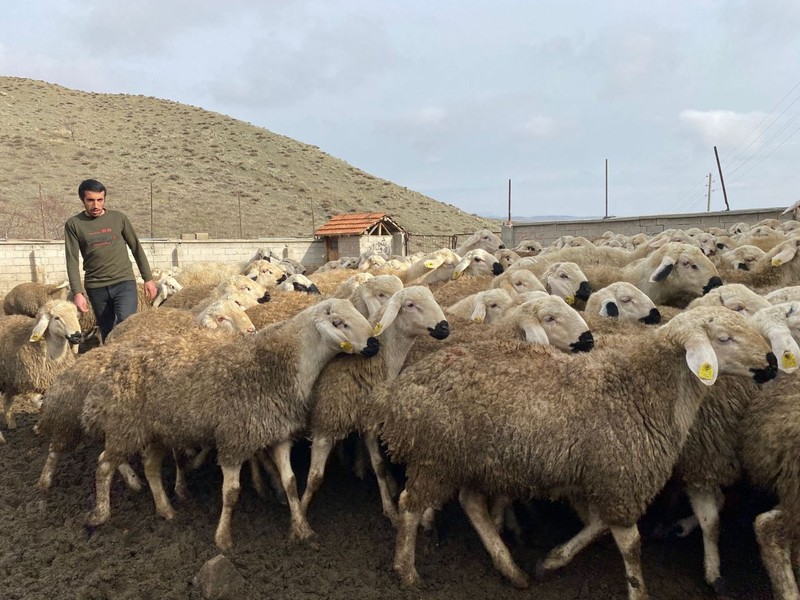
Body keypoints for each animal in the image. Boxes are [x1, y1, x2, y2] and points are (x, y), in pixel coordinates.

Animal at [79, 298, 380, 552]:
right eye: (339, 323)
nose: (374, 345)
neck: (281, 362)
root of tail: (117, 357)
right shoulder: (235, 440)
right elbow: (231, 493)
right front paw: (223, 538)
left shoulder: (278, 434)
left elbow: (292, 482)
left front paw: (301, 529)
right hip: (125, 426)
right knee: (104, 464)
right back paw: (100, 514)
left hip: (156, 430)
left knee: (150, 466)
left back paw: (166, 510)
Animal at [298, 288, 450, 528]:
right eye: (410, 305)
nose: (444, 327)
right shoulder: (325, 425)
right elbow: (314, 477)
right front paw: (300, 521)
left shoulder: (369, 421)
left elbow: (379, 465)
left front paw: (390, 509)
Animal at [372, 308, 780, 596]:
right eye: (724, 338)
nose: (773, 363)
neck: (641, 390)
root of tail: (402, 387)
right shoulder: (621, 478)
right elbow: (631, 546)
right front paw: (638, 591)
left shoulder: (604, 479)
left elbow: (597, 525)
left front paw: (551, 562)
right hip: (436, 456)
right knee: (410, 505)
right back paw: (407, 572)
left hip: (473, 460)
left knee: (471, 503)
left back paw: (512, 570)